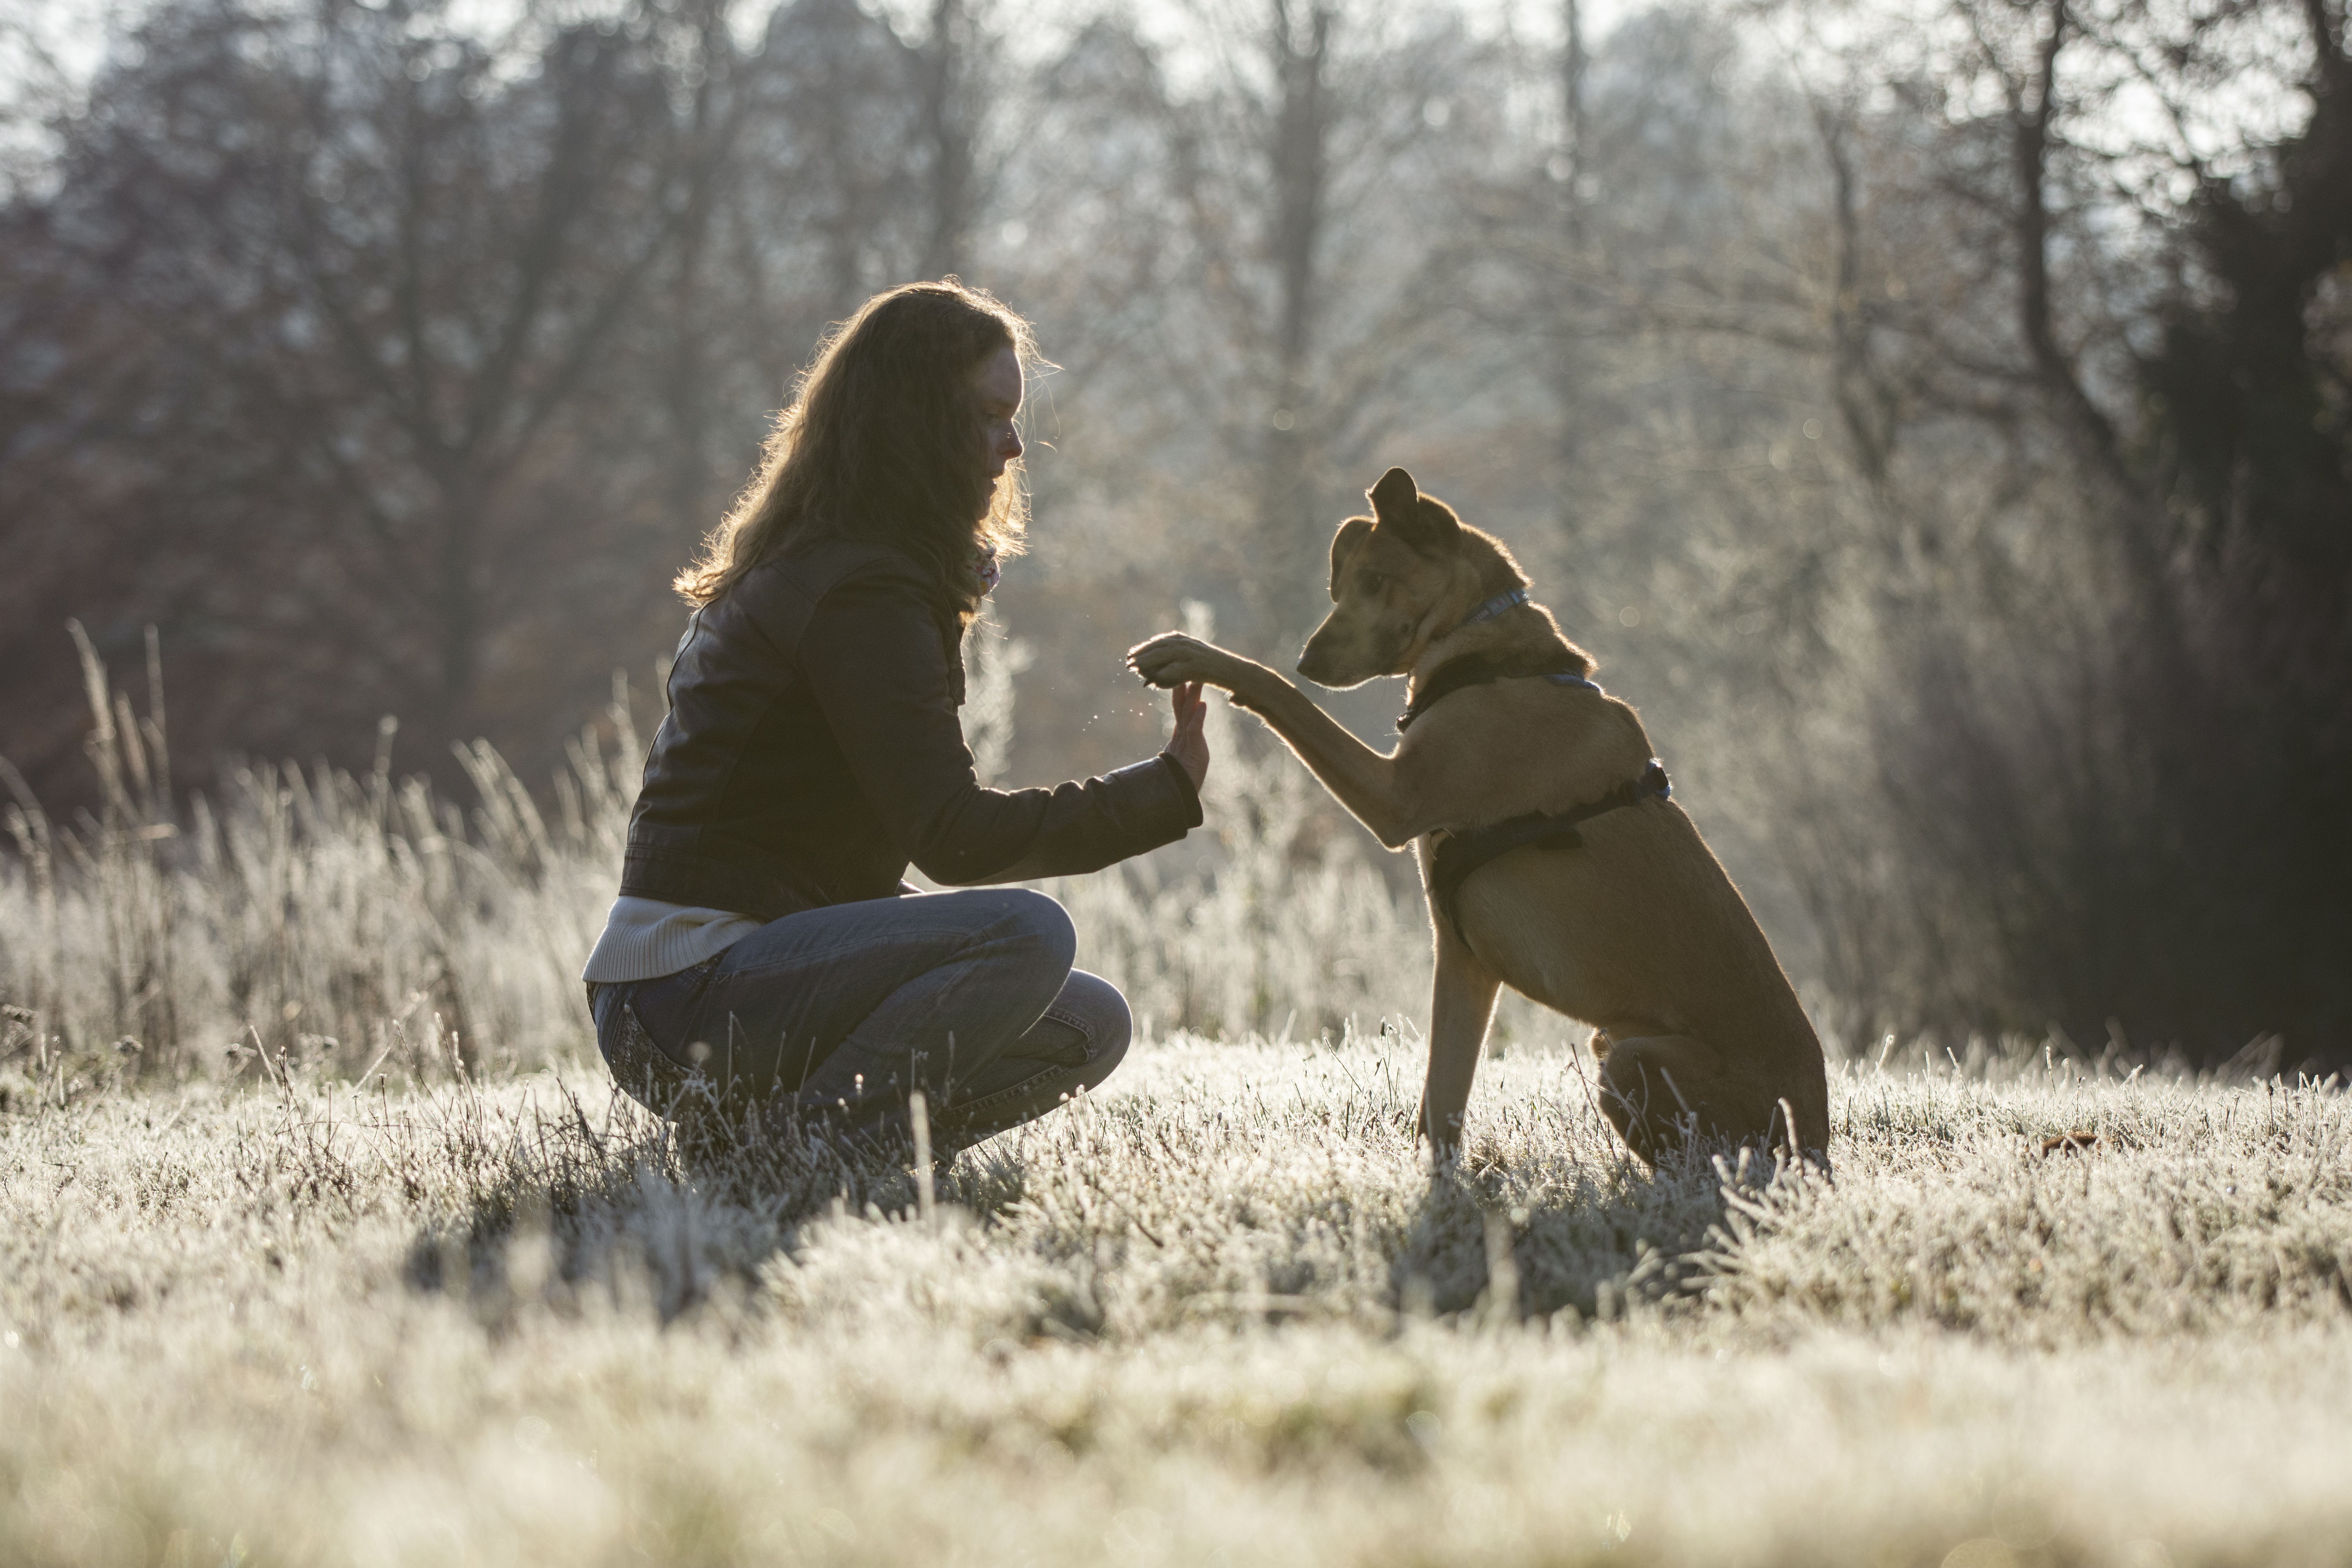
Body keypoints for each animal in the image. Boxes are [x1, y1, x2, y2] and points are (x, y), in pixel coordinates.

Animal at [1129, 465, 1825, 1166]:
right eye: (1339, 587)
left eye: (1376, 581)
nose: (1310, 661)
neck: (1490, 660)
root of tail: (1816, 1139)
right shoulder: (1464, 959)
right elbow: (1442, 1099)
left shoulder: (1397, 800)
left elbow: (1282, 695)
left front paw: (1195, 654)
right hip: (1612, 1041)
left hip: (1631, 1059)